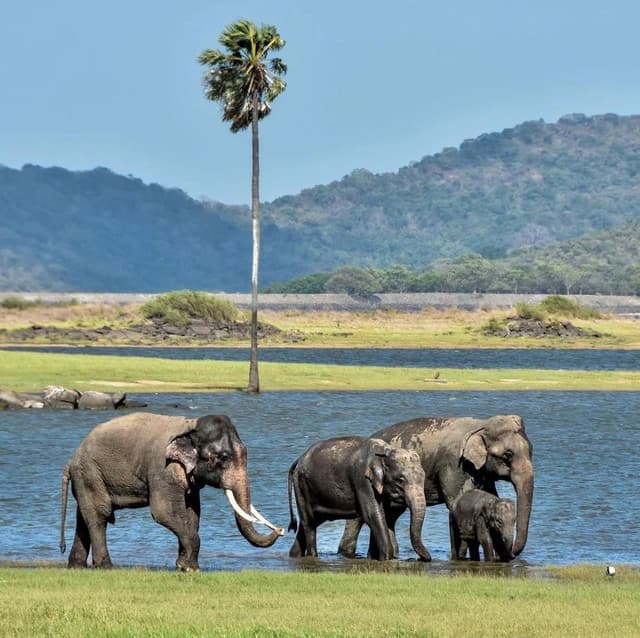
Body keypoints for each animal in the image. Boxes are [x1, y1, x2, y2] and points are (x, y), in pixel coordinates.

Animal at [60, 412, 284, 571]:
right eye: (221, 458)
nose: (281, 530)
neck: (190, 426)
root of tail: (71, 458)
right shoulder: (162, 468)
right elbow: (164, 512)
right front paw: (188, 568)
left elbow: (192, 514)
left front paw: (186, 566)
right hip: (90, 473)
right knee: (100, 514)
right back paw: (106, 567)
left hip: (86, 478)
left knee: (84, 517)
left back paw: (76, 566)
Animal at [288, 436, 430, 561]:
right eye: (401, 480)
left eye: (424, 477)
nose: (422, 559)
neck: (385, 450)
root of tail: (299, 459)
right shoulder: (362, 480)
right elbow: (373, 515)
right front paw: (386, 558)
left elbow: (385, 515)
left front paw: (373, 558)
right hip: (302, 487)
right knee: (309, 524)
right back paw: (312, 556)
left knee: (306, 525)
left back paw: (294, 555)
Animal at [338, 415, 533, 559]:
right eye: (508, 455)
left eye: (532, 451)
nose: (512, 553)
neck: (482, 424)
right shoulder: (454, 465)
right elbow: (456, 502)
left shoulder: (480, 470)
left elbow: (488, 495)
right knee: (361, 517)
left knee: (390, 515)